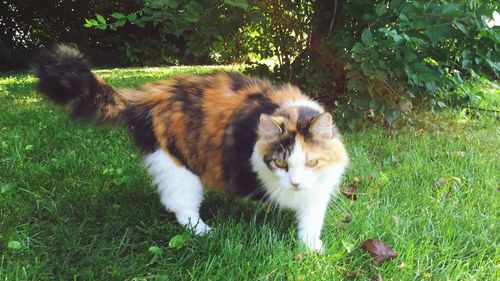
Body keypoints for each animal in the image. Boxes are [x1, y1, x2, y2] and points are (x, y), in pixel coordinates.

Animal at [34, 44, 348, 252]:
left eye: (312, 163)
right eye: (281, 163)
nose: (295, 182)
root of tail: (151, 93)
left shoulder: (319, 190)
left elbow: (311, 218)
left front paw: (312, 247)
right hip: (178, 169)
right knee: (180, 206)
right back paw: (204, 231)